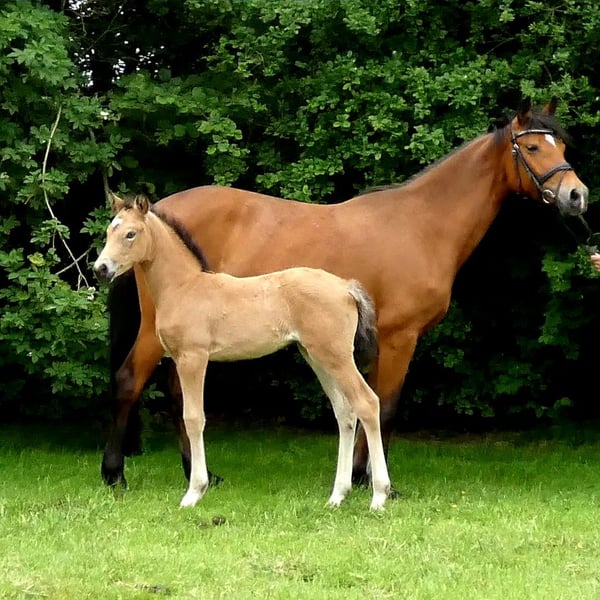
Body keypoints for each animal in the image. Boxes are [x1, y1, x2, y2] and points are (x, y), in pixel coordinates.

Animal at [94, 193, 392, 510]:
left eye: (130, 234)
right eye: (109, 231)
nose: (101, 269)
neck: (184, 287)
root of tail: (347, 287)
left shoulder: (194, 357)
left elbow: (194, 417)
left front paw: (194, 492)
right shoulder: (178, 358)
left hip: (336, 356)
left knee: (367, 403)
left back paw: (379, 496)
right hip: (316, 356)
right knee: (345, 412)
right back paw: (337, 496)